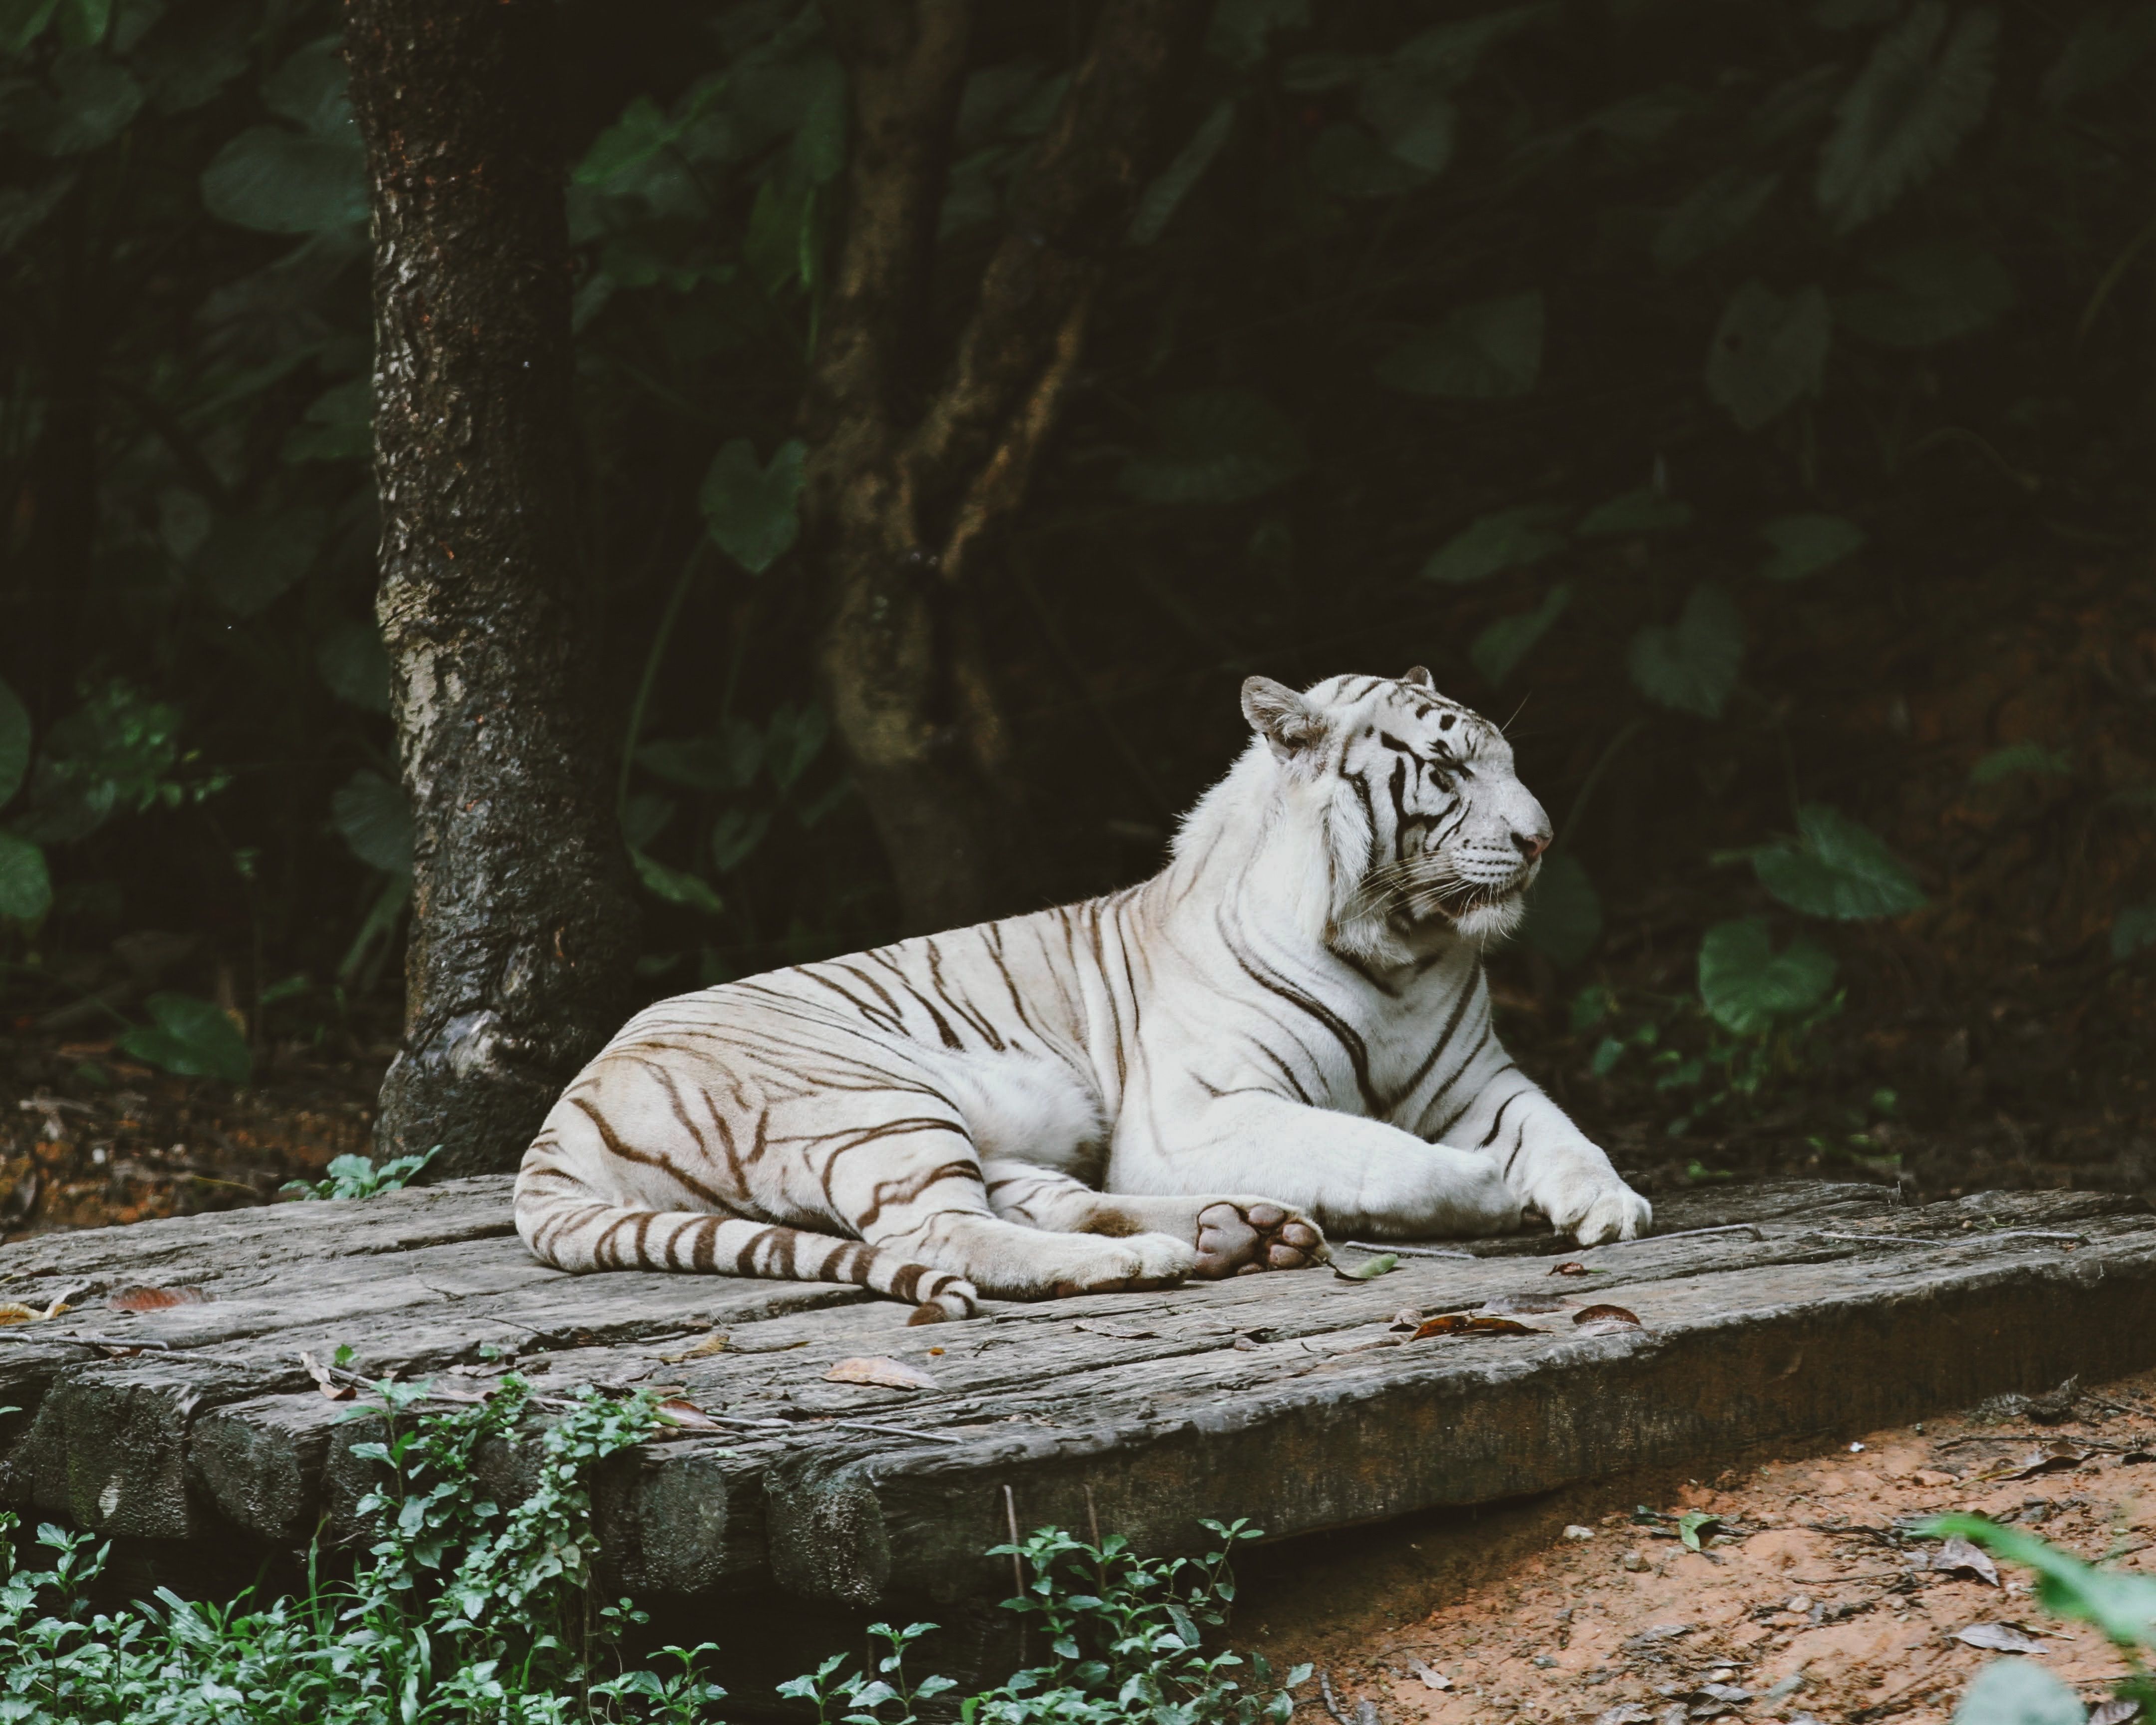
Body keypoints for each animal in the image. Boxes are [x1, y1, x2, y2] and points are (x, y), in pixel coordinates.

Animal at [514, 669, 1652, 1321]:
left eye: (1507, 759)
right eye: (1449, 773)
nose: (1543, 839)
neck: (1398, 950)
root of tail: (561, 1118)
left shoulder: (1482, 1080)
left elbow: (1561, 1133)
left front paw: (1607, 1203)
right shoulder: (1198, 1111)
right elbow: (1375, 1149)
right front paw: (1489, 1192)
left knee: (1041, 1201)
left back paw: (1239, 1230)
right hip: (873, 1102)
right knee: (941, 1235)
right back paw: (1154, 1259)